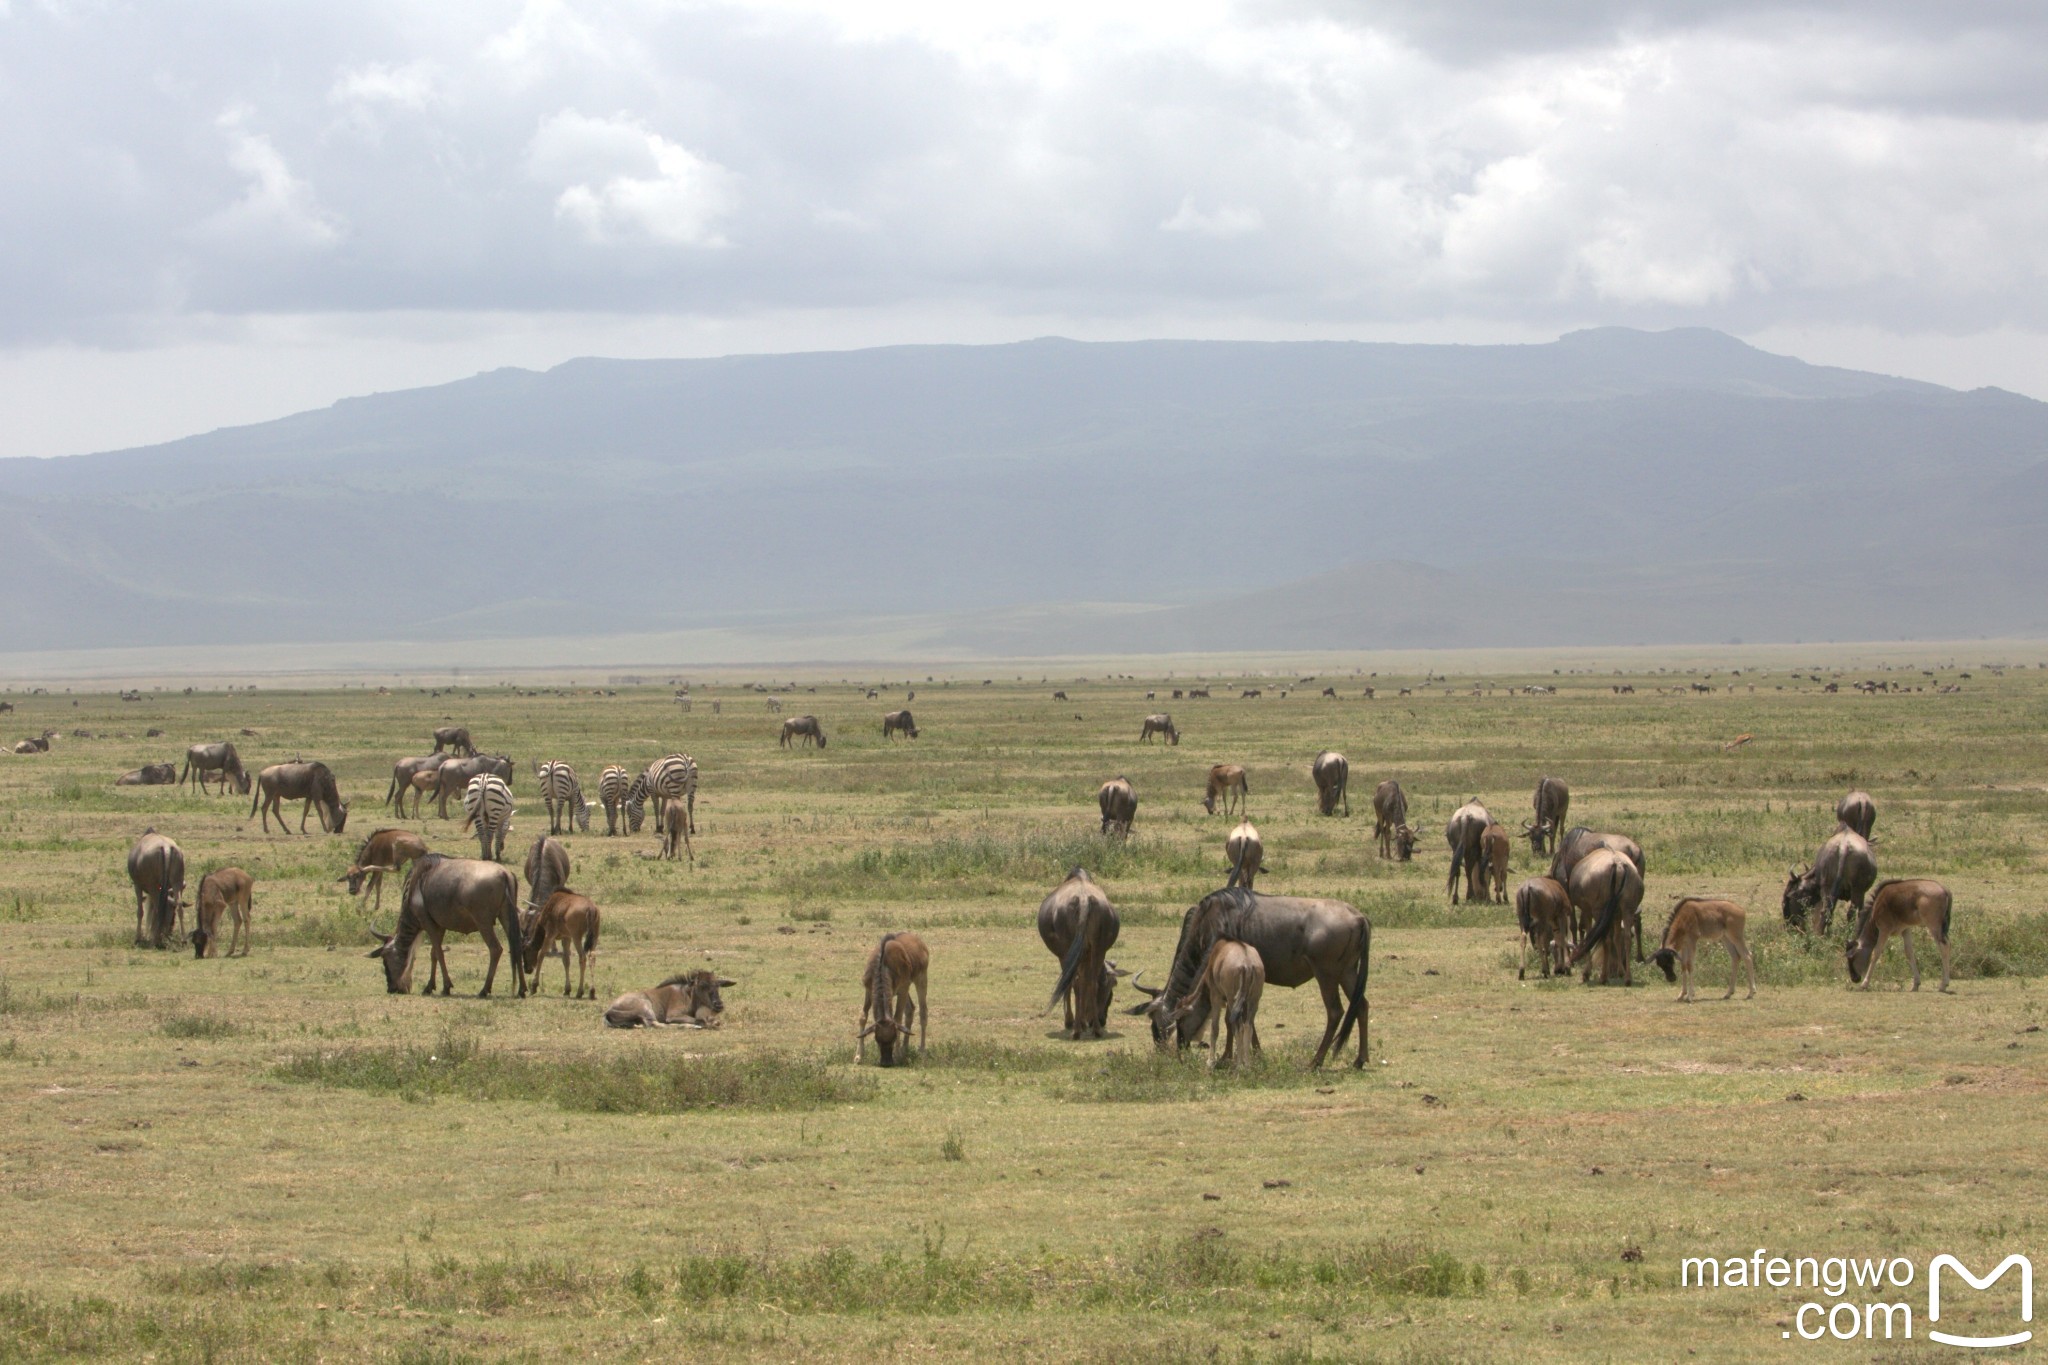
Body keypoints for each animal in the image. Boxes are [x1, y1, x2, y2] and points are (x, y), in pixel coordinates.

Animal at [598, 970, 737, 1023]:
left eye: (718, 985)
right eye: (702, 985)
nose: (719, 1005)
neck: (688, 994)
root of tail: (609, 1010)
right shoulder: (673, 1015)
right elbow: (699, 1020)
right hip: (646, 1007)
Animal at [856, 933, 929, 1072]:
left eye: (894, 1038)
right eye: (877, 1039)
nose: (886, 1062)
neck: (883, 966)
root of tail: (921, 944)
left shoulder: (903, 986)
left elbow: (897, 1018)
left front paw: (897, 1054)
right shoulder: (868, 988)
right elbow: (862, 1016)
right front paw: (858, 1056)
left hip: (921, 978)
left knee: (923, 1012)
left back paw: (922, 1051)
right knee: (910, 1009)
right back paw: (905, 1049)